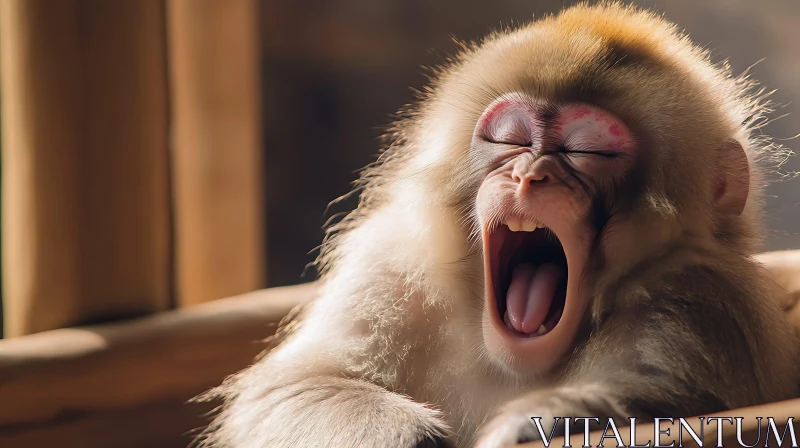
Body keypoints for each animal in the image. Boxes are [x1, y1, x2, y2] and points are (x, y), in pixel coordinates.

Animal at [197, 3, 796, 448]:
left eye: (589, 150)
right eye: (510, 139)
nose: (529, 174)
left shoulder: (698, 301)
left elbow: (677, 399)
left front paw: (532, 424)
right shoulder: (389, 269)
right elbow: (295, 386)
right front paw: (405, 434)